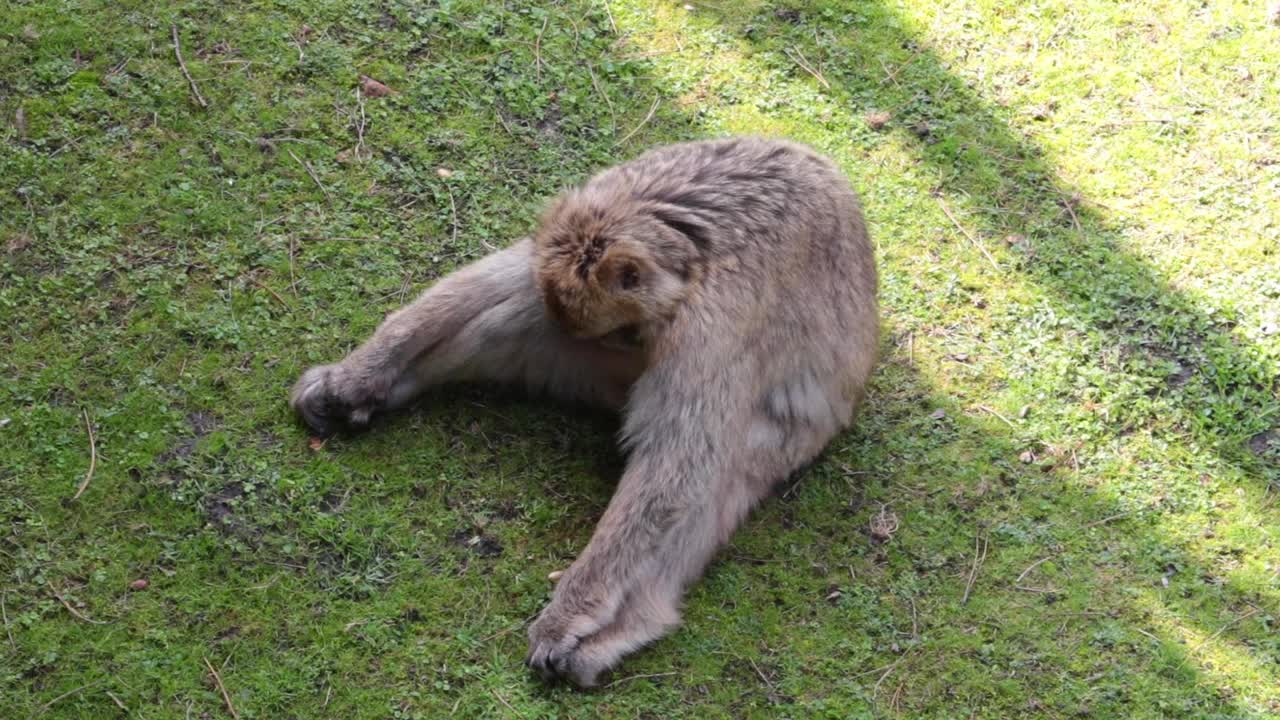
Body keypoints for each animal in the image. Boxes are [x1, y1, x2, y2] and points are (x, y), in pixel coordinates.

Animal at [290, 133, 875, 681]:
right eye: (619, 331)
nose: (626, 351)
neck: (682, 245)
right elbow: (503, 286)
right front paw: (350, 380)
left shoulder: (713, 327)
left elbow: (680, 466)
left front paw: (569, 615)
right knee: (518, 309)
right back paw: (367, 387)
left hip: (789, 435)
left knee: (719, 468)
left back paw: (625, 626)